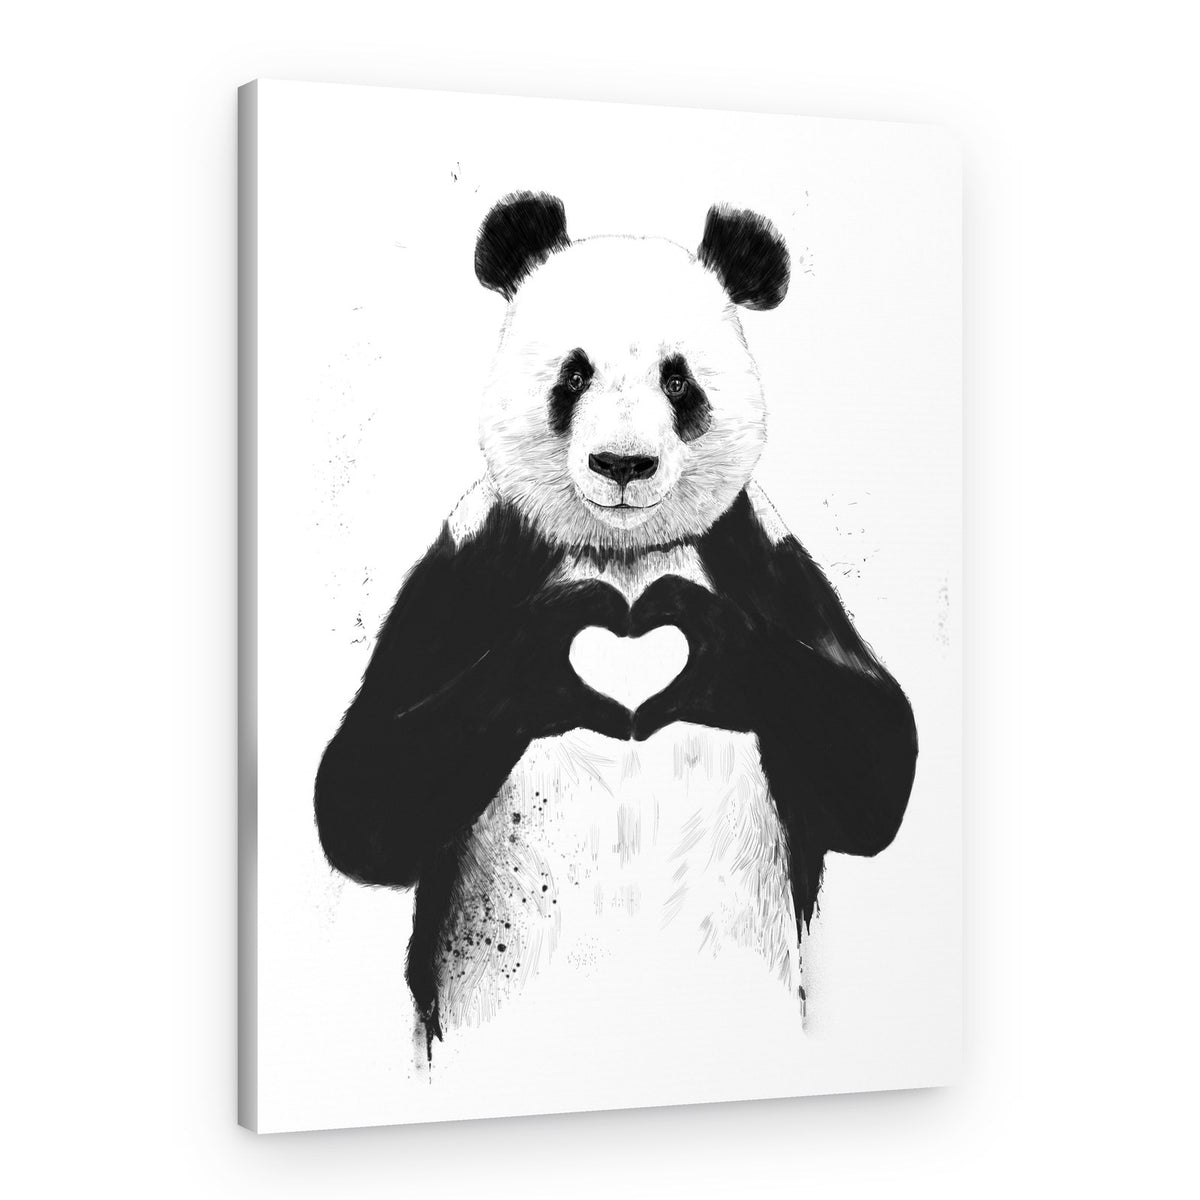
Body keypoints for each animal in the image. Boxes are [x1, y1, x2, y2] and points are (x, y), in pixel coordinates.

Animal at [315, 192, 917, 1058]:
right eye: (574, 374)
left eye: (678, 380)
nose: (623, 465)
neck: (622, 553)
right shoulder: (470, 569)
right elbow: (364, 796)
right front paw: (562, 656)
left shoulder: (759, 559)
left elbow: (872, 762)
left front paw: (699, 648)